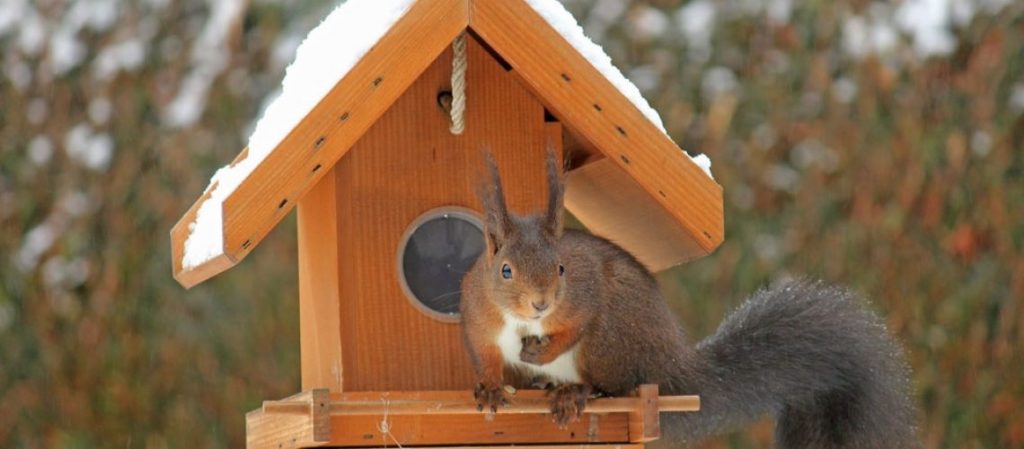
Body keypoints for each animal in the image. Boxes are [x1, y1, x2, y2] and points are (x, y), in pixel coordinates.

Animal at [459, 151, 918, 448]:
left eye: (561, 269)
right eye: (505, 271)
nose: (541, 304)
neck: (522, 321)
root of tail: (671, 366)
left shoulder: (582, 299)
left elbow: (575, 325)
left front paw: (540, 352)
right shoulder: (479, 316)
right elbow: (485, 353)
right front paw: (491, 389)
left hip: (611, 342)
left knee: (612, 385)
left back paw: (573, 392)